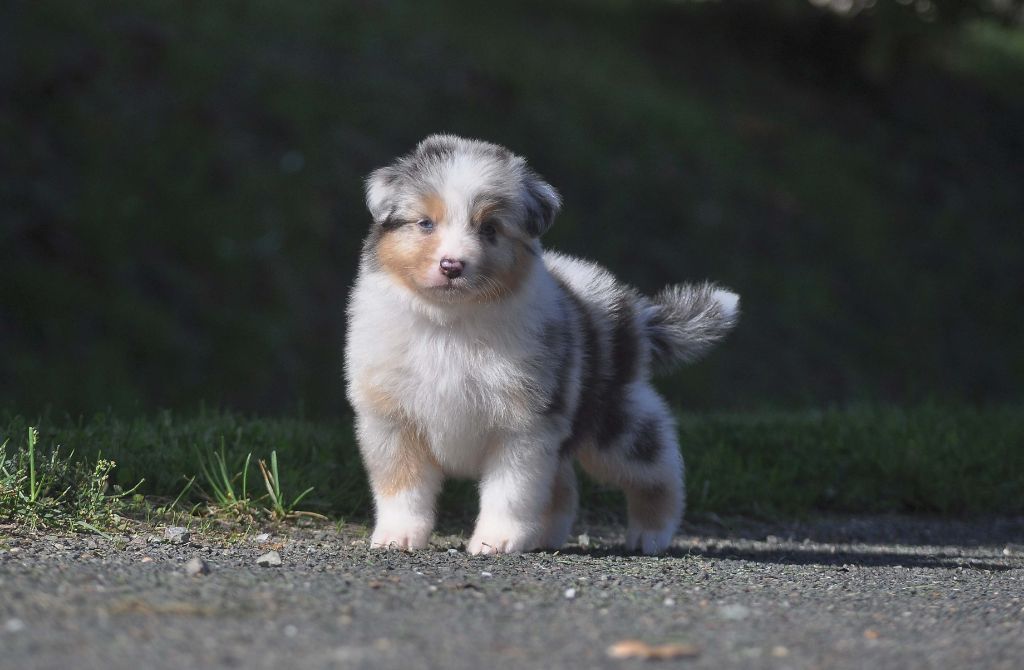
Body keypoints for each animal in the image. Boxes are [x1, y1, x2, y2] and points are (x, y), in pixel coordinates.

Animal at [348, 132, 741, 557]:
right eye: (425, 223)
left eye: (490, 229)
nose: (452, 265)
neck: (450, 324)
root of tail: (634, 311)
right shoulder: (392, 421)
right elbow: (402, 488)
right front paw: (398, 536)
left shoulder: (523, 426)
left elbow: (510, 492)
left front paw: (496, 540)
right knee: (564, 488)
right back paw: (544, 537)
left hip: (614, 422)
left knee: (657, 468)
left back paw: (650, 534)